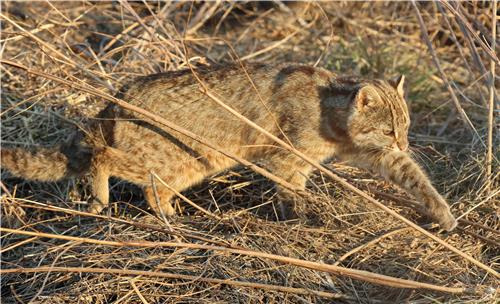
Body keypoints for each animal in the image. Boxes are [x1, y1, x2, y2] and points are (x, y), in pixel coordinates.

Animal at [0, 62, 458, 230]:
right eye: (389, 130)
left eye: (405, 127)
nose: (405, 141)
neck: (333, 116)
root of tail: (116, 98)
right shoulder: (284, 157)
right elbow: (293, 189)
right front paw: (302, 215)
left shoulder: (372, 155)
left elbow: (414, 177)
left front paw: (443, 215)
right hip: (182, 159)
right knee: (107, 159)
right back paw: (104, 198)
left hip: (182, 165)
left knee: (151, 188)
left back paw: (172, 215)